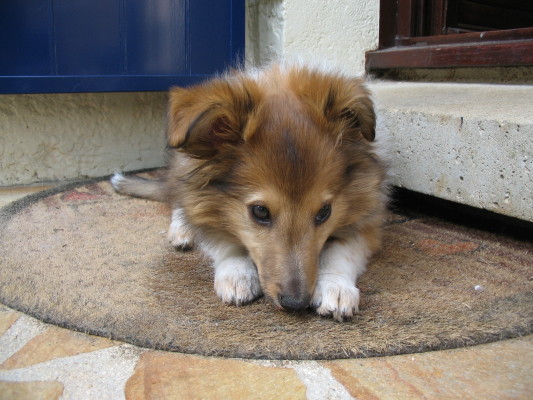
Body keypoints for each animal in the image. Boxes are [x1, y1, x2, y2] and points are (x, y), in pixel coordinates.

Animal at [111, 62, 388, 321]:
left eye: (324, 212)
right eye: (260, 212)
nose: (295, 303)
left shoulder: (367, 217)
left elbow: (341, 251)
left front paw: (335, 287)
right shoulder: (207, 205)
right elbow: (224, 239)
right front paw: (237, 274)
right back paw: (182, 230)